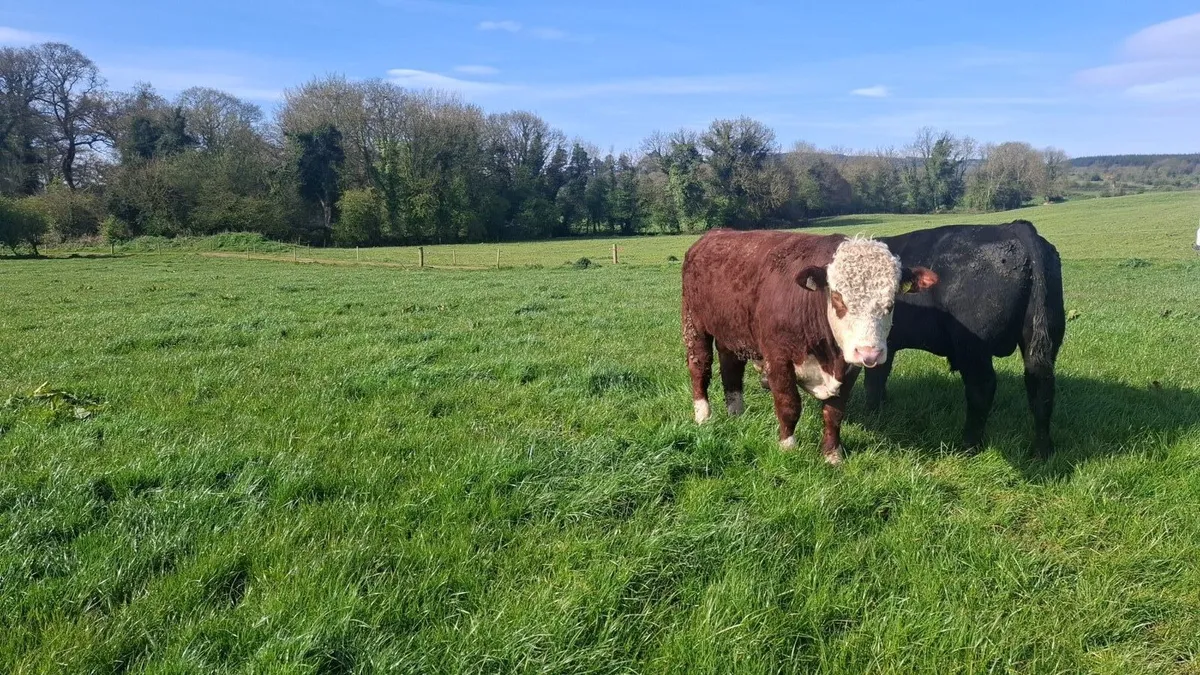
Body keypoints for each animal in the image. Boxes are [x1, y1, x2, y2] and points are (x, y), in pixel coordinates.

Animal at [682, 229, 938, 464]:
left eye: (891, 302)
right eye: (838, 298)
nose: (870, 353)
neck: (828, 358)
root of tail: (716, 233)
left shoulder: (849, 367)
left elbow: (834, 412)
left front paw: (832, 455)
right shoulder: (778, 358)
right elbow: (789, 405)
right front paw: (787, 447)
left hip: (730, 333)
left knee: (731, 371)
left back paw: (736, 415)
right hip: (694, 325)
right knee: (700, 369)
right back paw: (703, 416)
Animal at [845, 220, 1065, 457]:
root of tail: (1014, 227)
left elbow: (872, 381)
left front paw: (871, 414)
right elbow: (879, 377)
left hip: (972, 347)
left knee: (982, 387)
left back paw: (968, 445)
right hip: (1043, 337)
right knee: (1041, 386)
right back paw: (1042, 450)